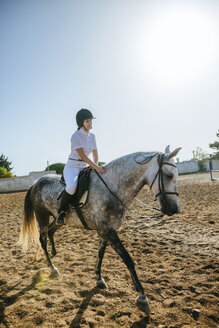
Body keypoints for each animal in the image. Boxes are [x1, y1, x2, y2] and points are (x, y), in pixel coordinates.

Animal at [18, 146, 181, 308]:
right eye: (168, 175)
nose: (174, 209)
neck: (112, 188)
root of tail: (35, 183)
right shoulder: (108, 231)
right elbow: (127, 259)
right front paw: (142, 294)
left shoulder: (104, 231)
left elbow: (100, 254)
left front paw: (99, 279)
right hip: (42, 217)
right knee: (43, 239)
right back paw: (52, 267)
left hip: (59, 220)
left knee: (51, 232)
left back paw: (54, 252)